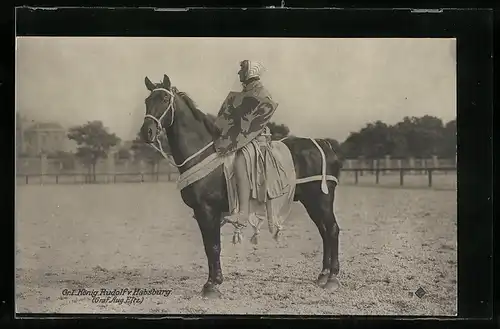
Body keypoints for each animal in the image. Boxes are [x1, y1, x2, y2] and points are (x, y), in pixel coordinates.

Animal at [141, 74, 344, 298]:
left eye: (164, 100)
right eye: (147, 101)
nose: (146, 132)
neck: (202, 153)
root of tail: (323, 144)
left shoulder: (207, 210)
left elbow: (212, 246)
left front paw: (212, 285)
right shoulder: (204, 212)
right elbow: (210, 246)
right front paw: (214, 281)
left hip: (322, 200)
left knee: (332, 230)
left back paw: (333, 278)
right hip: (312, 202)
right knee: (324, 231)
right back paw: (323, 275)